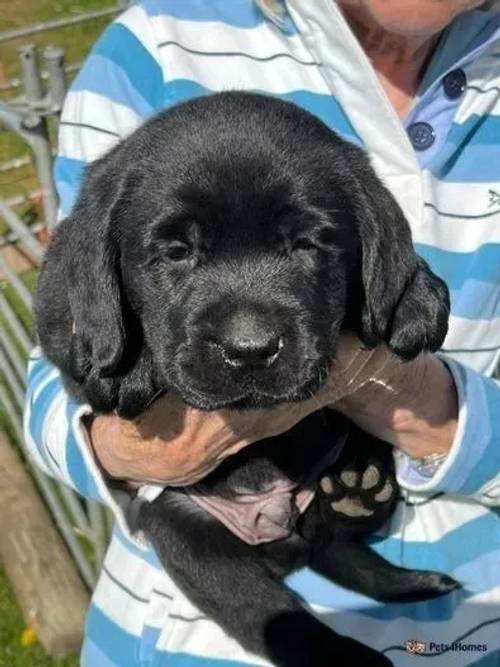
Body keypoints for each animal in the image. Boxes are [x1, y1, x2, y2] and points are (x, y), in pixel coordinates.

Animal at [34, 91, 458, 664]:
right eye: (176, 252)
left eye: (307, 244)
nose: (250, 349)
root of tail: (281, 530)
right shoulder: (55, 313)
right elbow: (86, 334)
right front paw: (126, 367)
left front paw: (417, 294)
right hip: (189, 539)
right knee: (267, 613)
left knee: (342, 538)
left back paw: (357, 488)